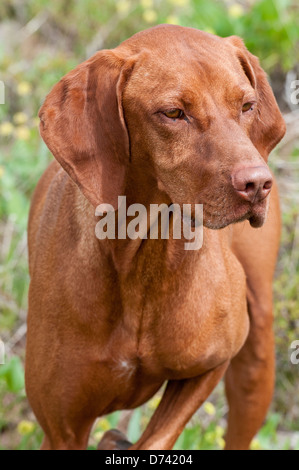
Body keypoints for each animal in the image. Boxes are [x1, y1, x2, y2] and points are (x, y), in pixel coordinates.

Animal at [25, 23, 286, 450]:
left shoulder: (212, 362)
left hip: (256, 354)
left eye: (247, 107)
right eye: (174, 113)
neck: (145, 256)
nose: (258, 184)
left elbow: (155, 439)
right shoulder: (62, 429)